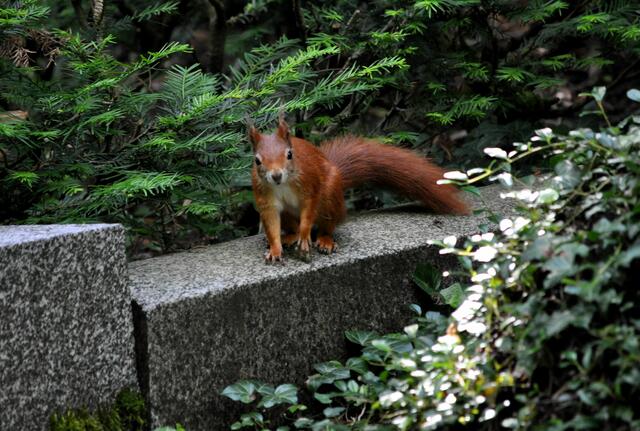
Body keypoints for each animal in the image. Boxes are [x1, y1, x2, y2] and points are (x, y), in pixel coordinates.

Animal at [249, 116, 469, 263]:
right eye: (257, 160)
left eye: (289, 154)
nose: (276, 175)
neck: (283, 184)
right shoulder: (265, 198)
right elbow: (271, 224)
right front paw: (275, 249)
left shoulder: (311, 186)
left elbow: (309, 211)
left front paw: (304, 237)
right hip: (288, 214)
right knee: (292, 225)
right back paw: (290, 237)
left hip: (330, 198)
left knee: (327, 227)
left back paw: (324, 240)